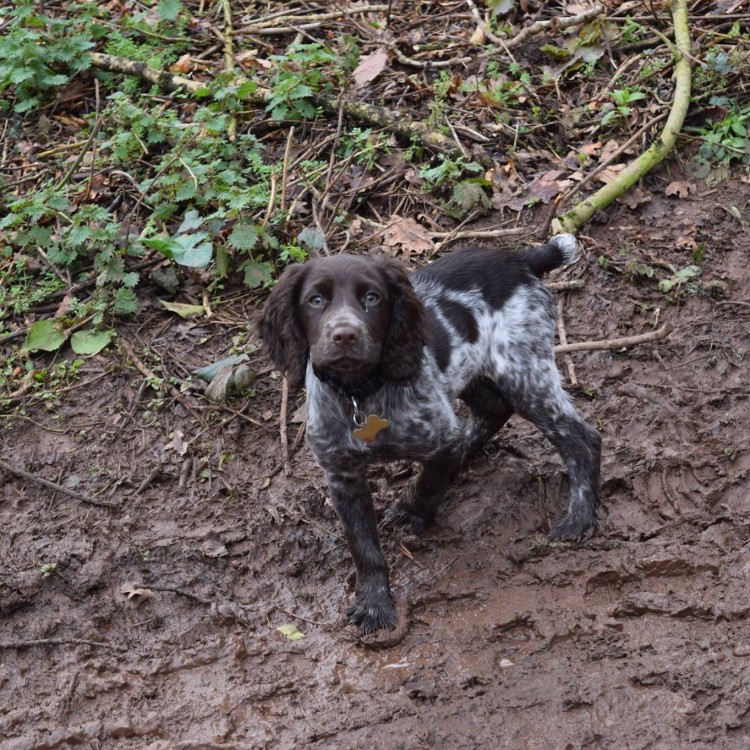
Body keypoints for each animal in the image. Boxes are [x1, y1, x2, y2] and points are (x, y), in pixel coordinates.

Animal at [262, 235, 604, 636]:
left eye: (372, 297)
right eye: (315, 300)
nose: (344, 335)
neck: (359, 393)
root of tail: (521, 258)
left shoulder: (440, 436)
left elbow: (430, 482)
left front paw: (413, 512)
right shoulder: (342, 476)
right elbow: (364, 548)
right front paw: (374, 602)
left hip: (524, 373)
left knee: (582, 439)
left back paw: (579, 517)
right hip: (474, 370)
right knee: (494, 409)